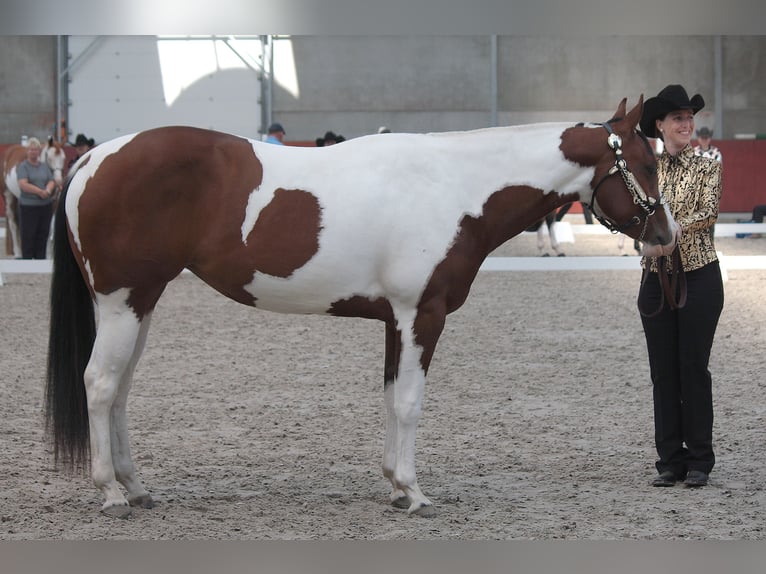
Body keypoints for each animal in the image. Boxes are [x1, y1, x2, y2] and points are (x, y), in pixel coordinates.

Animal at [45, 97, 680, 520]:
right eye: (648, 165)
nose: (666, 238)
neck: (453, 187)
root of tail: (92, 160)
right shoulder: (423, 315)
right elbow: (409, 404)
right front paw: (415, 493)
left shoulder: (397, 320)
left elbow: (389, 398)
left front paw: (395, 486)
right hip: (123, 302)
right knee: (100, 385)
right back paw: (111, 494)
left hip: (139, 303)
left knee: (120, 390)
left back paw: (135, 487)